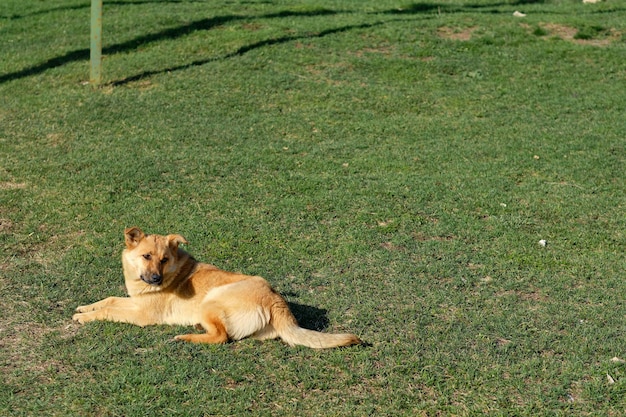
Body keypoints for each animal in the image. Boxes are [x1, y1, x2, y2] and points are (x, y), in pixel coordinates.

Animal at [72, 228, 360, 348]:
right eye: (146, 256)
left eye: (164, 259)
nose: (155, 279)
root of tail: (276, 301)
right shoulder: (134, 301)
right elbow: (109, 300)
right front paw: (85, 307)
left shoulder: (142, 315)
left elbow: (109, 311)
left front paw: (85, 317)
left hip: (210, 301)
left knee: (222, 337)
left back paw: (186, 337)